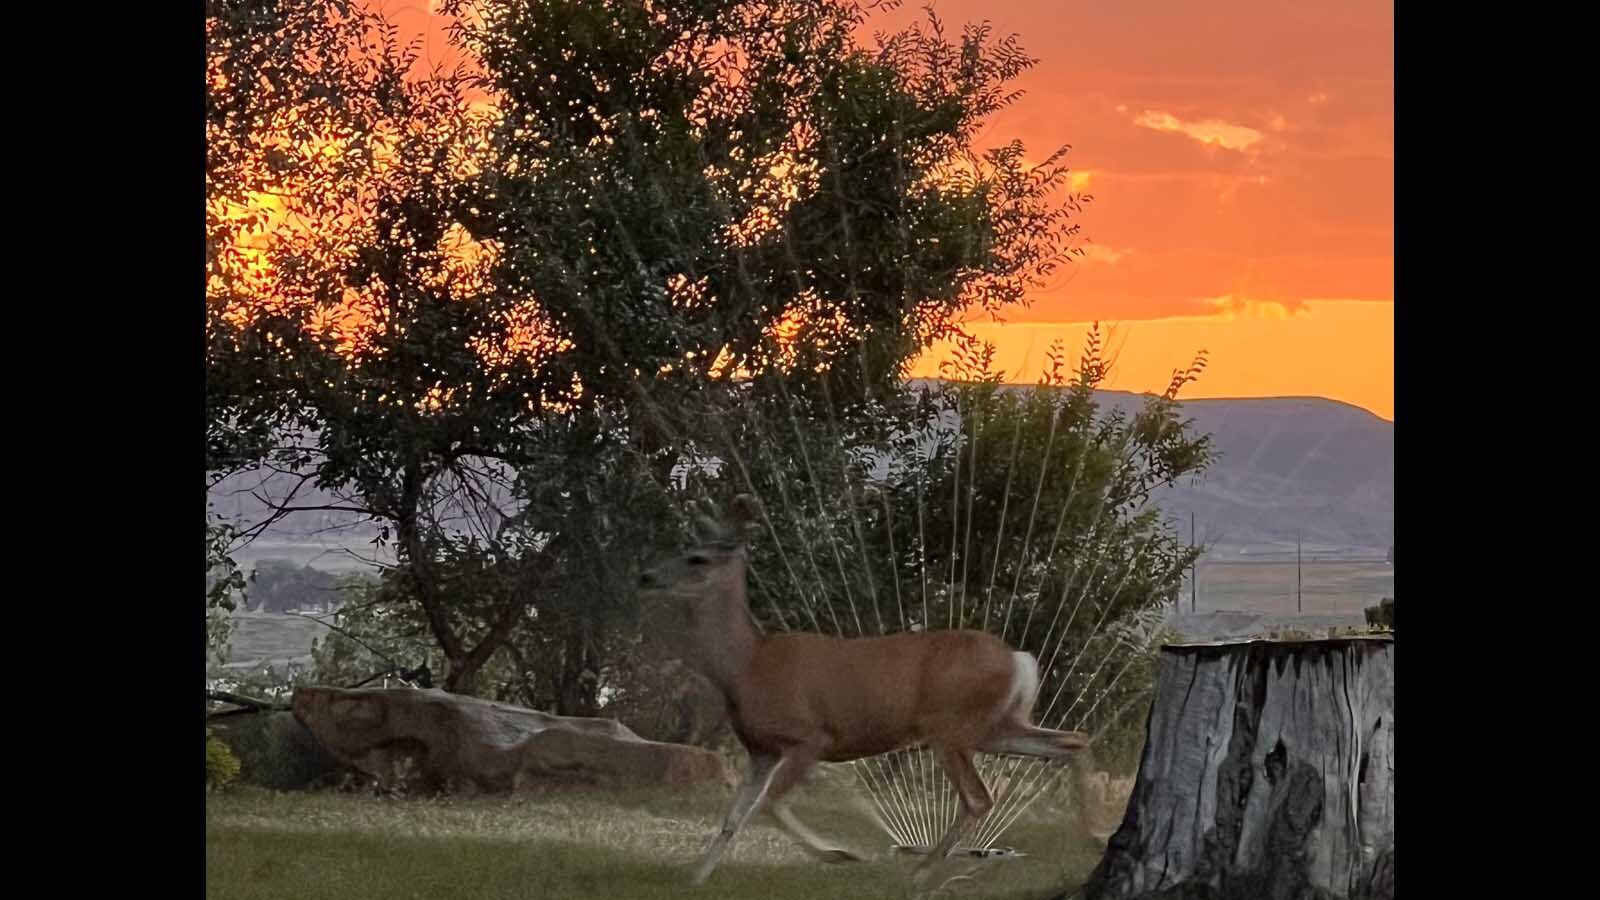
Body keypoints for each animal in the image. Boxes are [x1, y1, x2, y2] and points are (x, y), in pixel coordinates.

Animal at [636, 494, 1090, 885]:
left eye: (695, 557)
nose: (644, 575)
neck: (747, 666)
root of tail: (1018, 659)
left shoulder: (810, 736)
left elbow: (771, 804)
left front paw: (839, 854)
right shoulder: (761, 750)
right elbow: (734, 817)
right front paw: (695, 878)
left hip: (953, 727)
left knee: (980, 797)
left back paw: (922, 873)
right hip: (994, 727)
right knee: (1071, 742)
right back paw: (1090, 837)